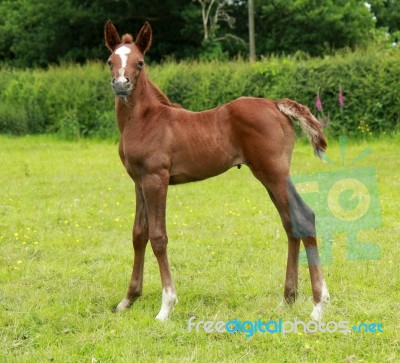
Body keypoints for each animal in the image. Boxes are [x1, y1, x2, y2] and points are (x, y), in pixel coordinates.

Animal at [104, 20, 330, 322]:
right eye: (110, 61)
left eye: (139, 62)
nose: (121, 85)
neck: (144, 120)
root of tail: (276, 105)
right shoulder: (138, 182)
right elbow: (139, 234)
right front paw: (128, 300)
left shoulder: (156, 179)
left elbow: (158, 237)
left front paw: (166, 306)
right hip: (271, 176)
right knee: (290, 222)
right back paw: (288, 299)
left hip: (275, 174)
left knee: (303, 217)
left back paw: (318, 305)